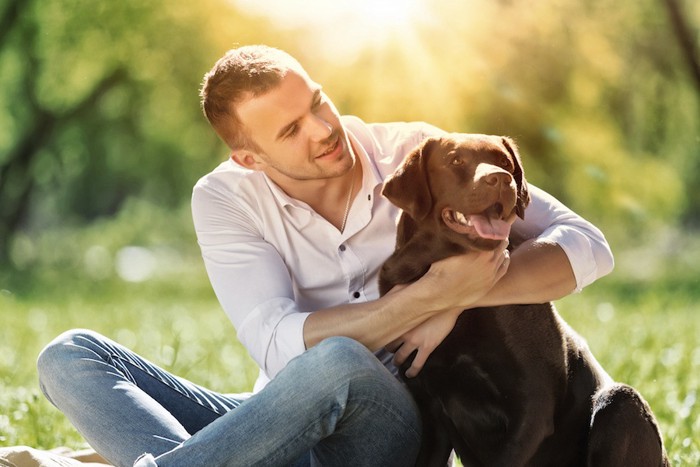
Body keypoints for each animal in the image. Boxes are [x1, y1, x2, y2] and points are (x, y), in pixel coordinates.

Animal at [378, 134, 668, 467]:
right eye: (455, 161)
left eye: (504, 162)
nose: (501, 179)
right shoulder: (430, 409)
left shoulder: (532, 404)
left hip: (621, 403)